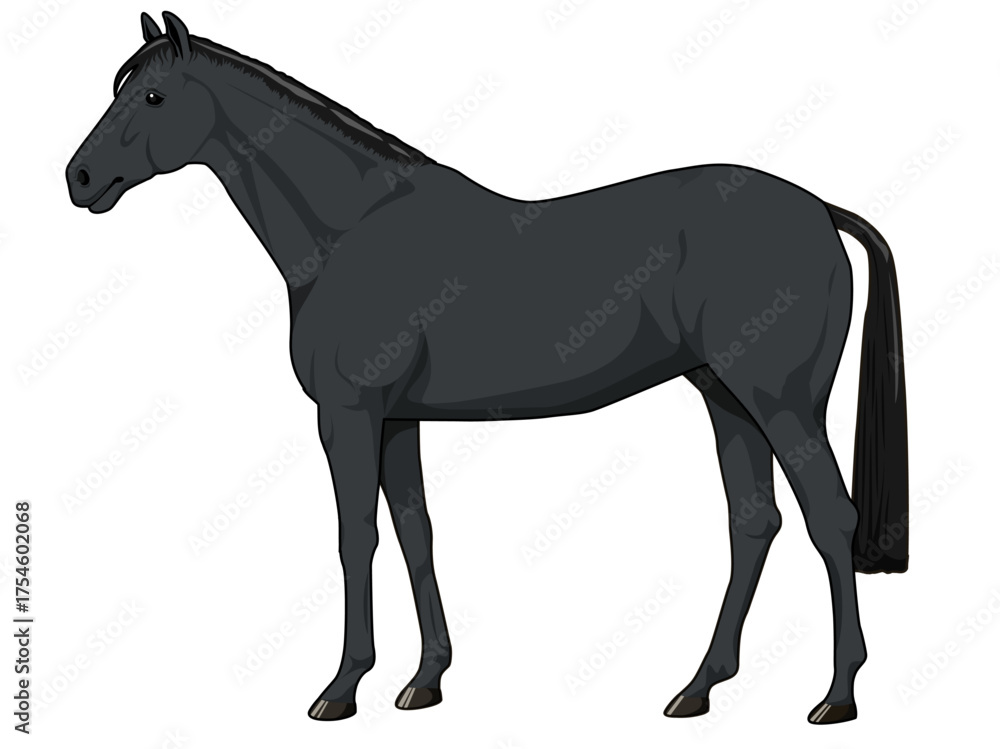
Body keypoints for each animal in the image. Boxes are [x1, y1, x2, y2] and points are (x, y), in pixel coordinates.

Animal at [66, 11, 908, 725]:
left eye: (153, 95)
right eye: (118, 89)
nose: (79, 179)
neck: (351, 234)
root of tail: (819, 210)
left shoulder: (348, 413)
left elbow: (354, 536)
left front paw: (341, 689)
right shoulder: (395, 418)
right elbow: (415, 531)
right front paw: (424, 679)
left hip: (782, 402)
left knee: (829, 519)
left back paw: (836, 696)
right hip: (725, 396)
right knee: (752, 522)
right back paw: (698, 687)